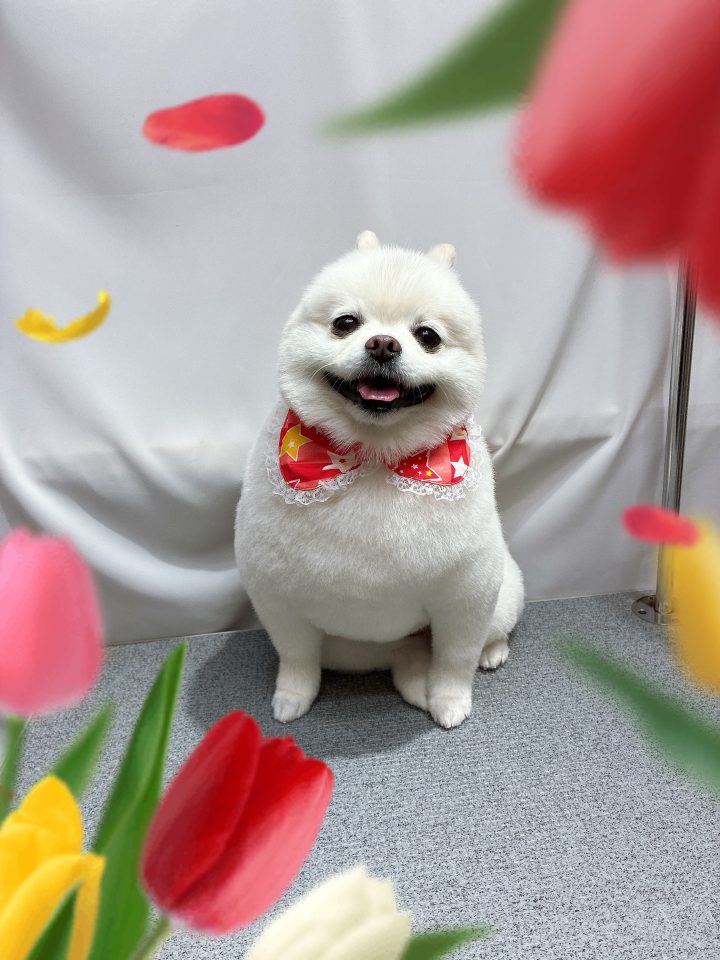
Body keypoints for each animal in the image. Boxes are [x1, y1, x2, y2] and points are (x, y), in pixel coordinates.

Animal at [234, 231, 524, 728]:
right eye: (345, 323)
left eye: (427, 336)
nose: (384, 344)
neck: (372, 457)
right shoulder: (277, 597)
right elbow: (295, 658)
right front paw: (292, 697)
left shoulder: (466, 595)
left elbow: (455, 658)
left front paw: (450, 700)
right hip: (349, 647)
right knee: (402, 658)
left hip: (505, 594)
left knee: (483, 637)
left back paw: (491, 653)